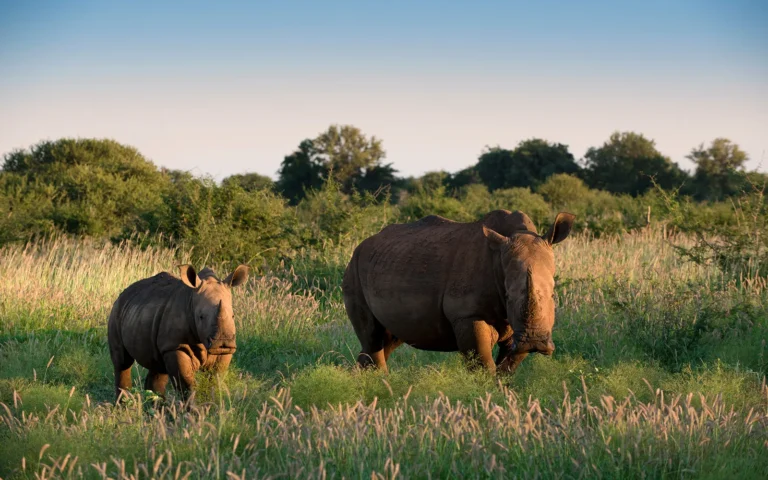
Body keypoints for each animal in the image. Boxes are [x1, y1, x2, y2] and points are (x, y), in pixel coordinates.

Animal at [108, 264, 249, 401]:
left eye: (233, 316)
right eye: (201, 317)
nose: (223, 342)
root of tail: (125, 291)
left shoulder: (224, 352)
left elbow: (214, 382)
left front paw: (211, 406)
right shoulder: (175, 347)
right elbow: (187, 385)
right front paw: (192, 408)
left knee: (158, 366)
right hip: (116, 310)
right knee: (122, 362)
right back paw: (124, 404)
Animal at [342, 210, 574, 374]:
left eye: (553, 294)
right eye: (508, 296)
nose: (534, 342)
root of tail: (360, 246)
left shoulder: (514, 328)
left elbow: (507, 367)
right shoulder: (467, 314)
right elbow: (483, 365)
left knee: (387, 340)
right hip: (354, 269)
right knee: (372, 338)